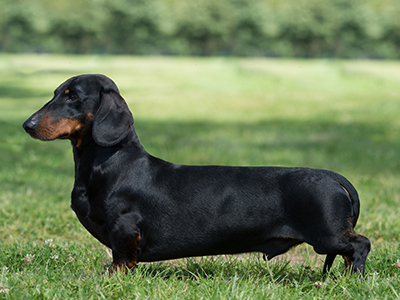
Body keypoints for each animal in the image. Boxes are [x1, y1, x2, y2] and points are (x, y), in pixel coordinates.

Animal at [22, 74, 372, 276]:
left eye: (72, 96)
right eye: (56, 92)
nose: (27, 125)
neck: (112, 162)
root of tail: (334, 177)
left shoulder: (124, 227)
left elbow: (122, 259)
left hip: (326, 236)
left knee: (360, 245)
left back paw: (353, 279)